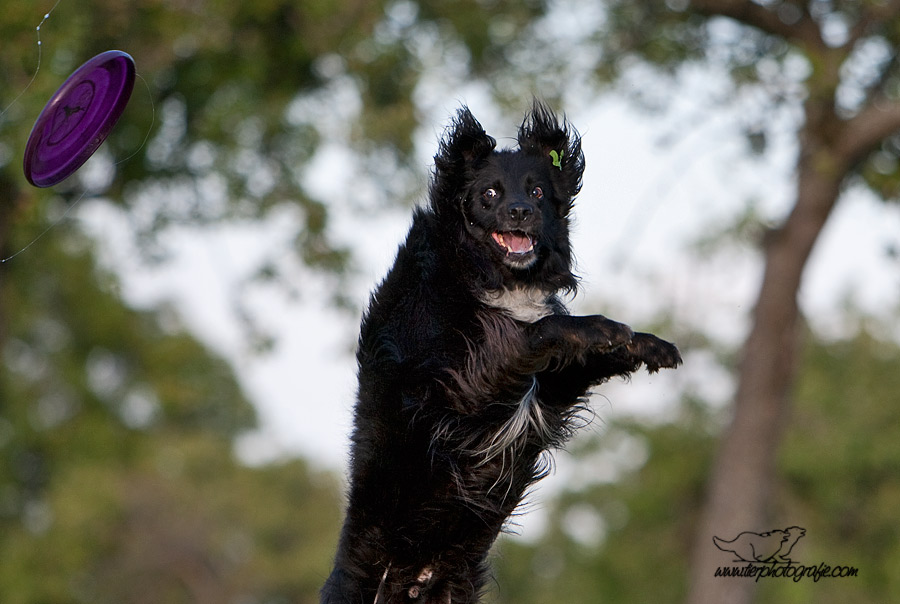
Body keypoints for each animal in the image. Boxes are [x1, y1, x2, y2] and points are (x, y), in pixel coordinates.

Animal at [324, 101, 684, 600]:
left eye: (537, 189)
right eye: (489, 193)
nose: (521, 212)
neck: (490, 274)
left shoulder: (547, 391)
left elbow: (576, 357)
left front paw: (643, 343)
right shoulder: (458, 385)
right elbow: (534, 332)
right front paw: (599, 327)